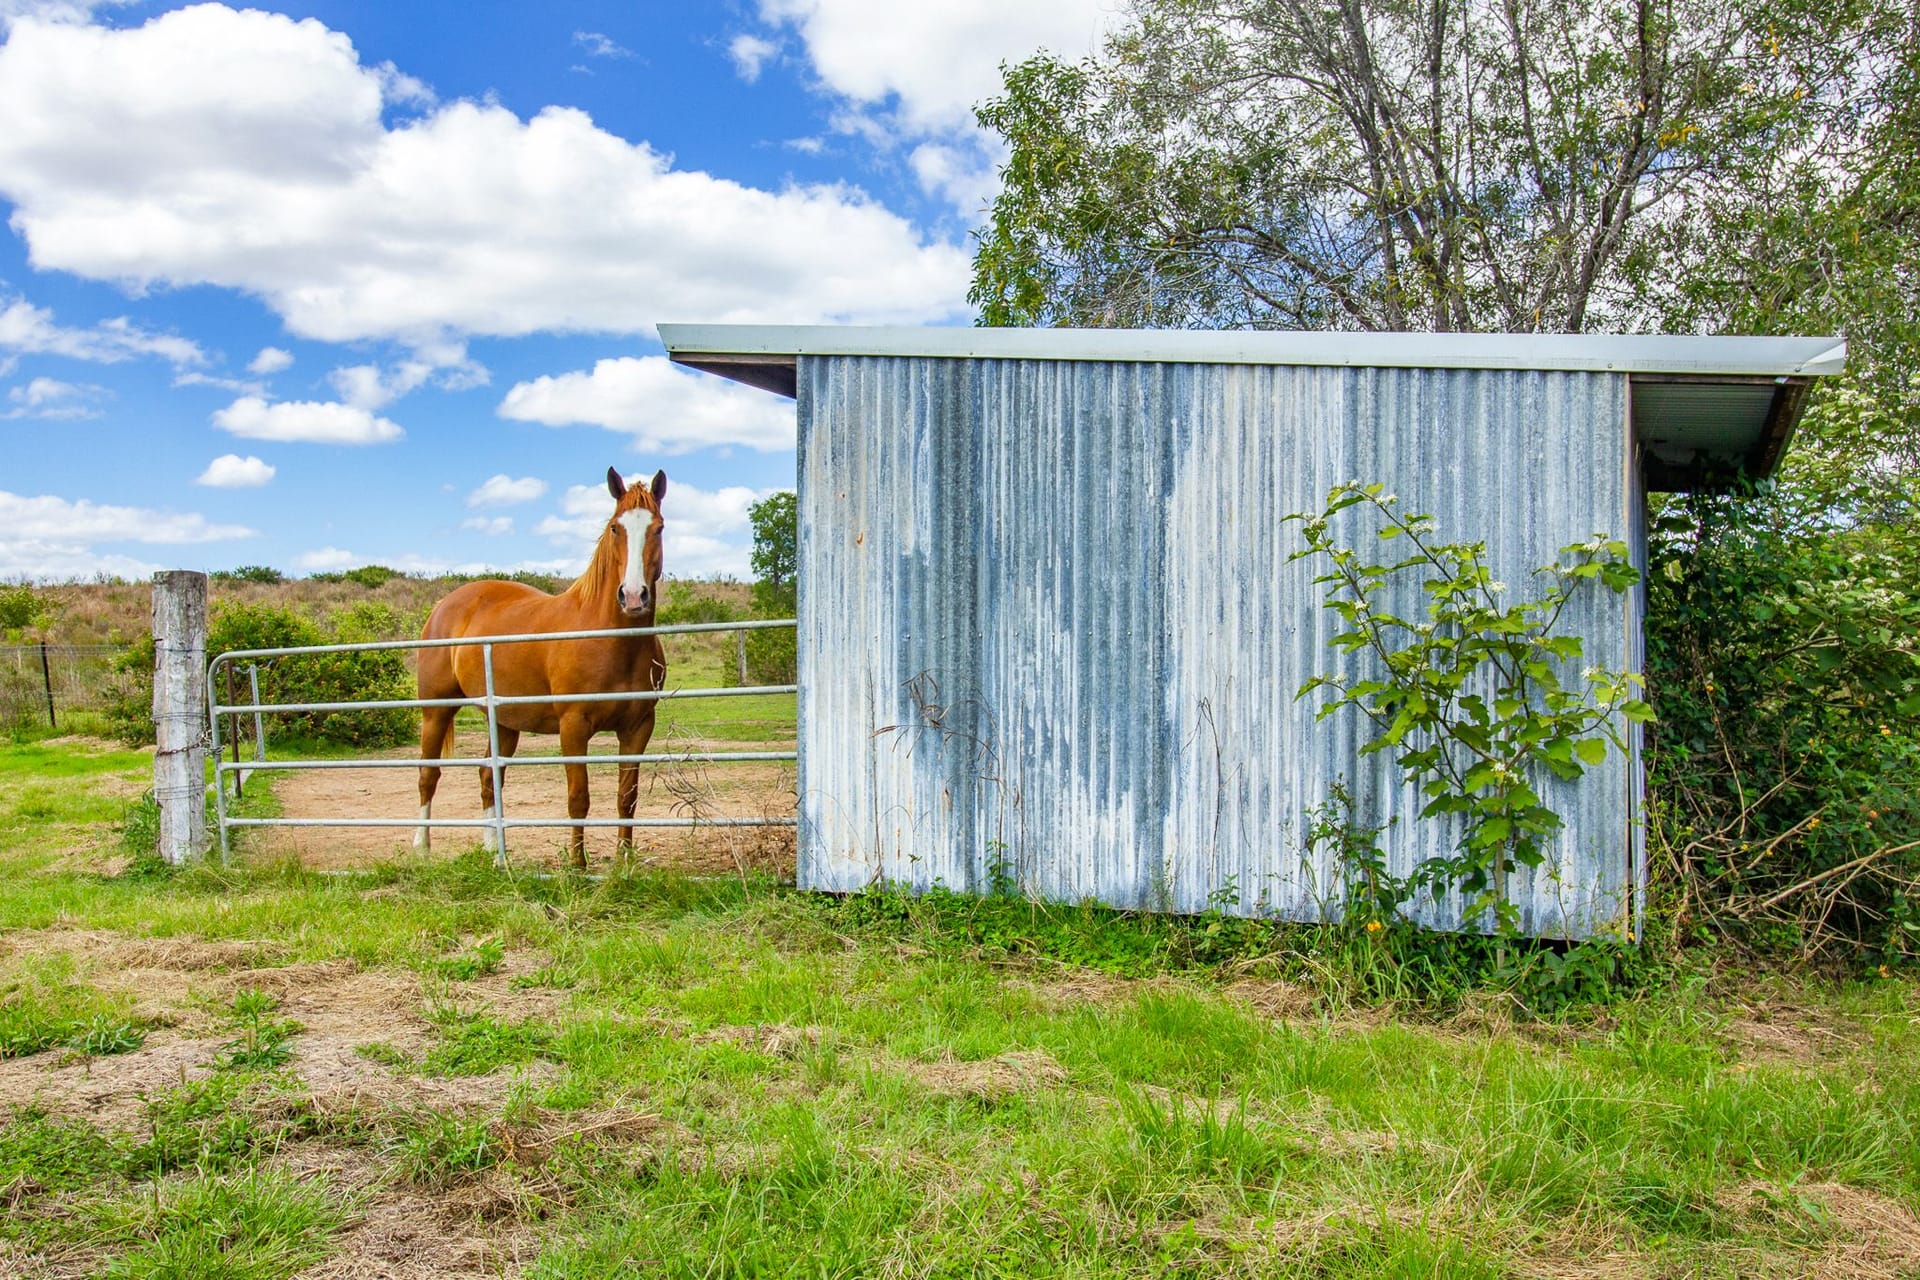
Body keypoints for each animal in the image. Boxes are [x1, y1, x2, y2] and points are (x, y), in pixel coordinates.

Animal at [412, 466, 668, 875]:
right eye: (615, 527)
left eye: (657, 528)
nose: (632, 596)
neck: (611, 638)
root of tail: (445, 605)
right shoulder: (573, 726)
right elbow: (578, 797)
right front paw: (577, 865)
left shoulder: (638, 727)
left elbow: (626, 797)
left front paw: (625, 864)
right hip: (436, 711)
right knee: (428, 775)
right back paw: (421, 848)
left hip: (504, 722)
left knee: (489, 776)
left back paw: (494, 854)